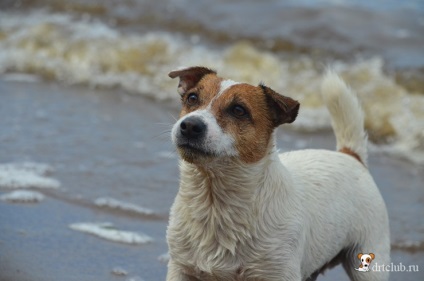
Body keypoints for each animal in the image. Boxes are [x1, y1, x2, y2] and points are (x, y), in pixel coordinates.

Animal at [166, 66, 390, 280]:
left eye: (238, 110)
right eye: (192, 98)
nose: (190, 125)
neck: (216, 205)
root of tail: (351, 155)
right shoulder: (181, 269)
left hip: (368, 264)